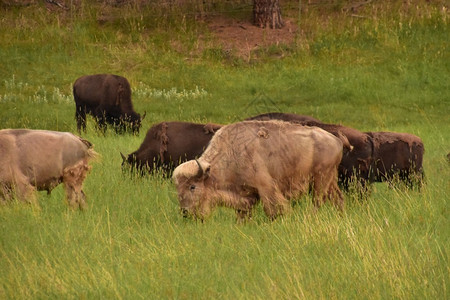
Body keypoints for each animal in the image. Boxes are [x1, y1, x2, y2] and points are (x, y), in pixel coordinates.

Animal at [171, 120, 344, 221]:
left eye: (192, 186)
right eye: (178, 188)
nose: (185, 212)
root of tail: (336, 140)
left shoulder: (266, 188)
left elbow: (274, 209)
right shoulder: (246, 195)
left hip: (320, 179)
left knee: (318, 201)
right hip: (330, 181)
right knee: (337, 199)